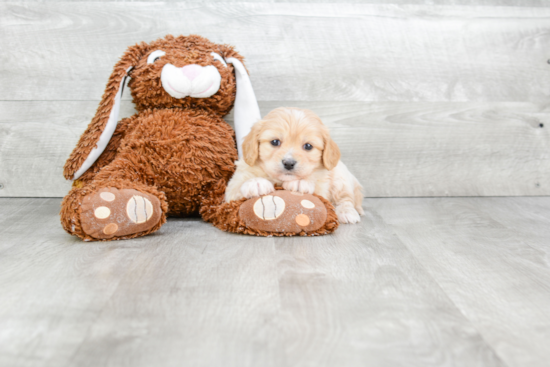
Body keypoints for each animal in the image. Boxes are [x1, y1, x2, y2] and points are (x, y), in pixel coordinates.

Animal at [226, 106, 364, 224]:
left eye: (308, 146)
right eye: (275, 142)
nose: (289, 163)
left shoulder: (323, 188)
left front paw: (299, 182)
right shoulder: (232, 188)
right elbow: (237, 187)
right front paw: (256, 183)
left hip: (340, 179)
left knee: (346, 199)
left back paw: (347, 213)